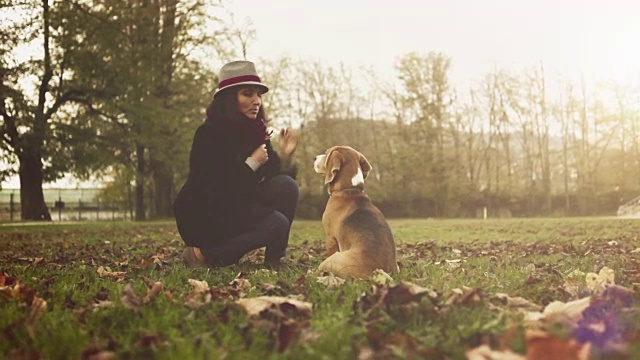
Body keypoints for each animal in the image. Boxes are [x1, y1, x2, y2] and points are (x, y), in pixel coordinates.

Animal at [312, 146, 398, 278]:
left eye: (326, 154)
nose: (315, 158)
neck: (350, 189)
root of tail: (379, 271)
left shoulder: (330, 238)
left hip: (331, 259)